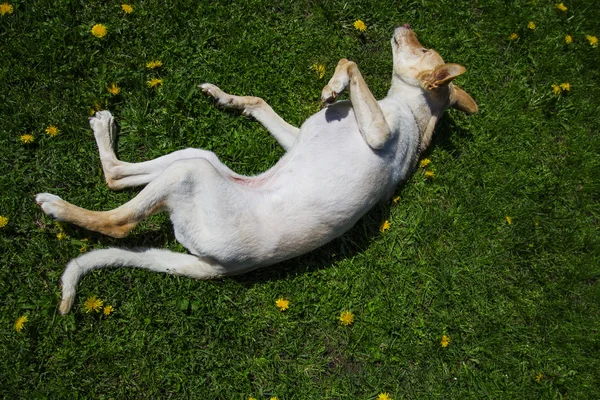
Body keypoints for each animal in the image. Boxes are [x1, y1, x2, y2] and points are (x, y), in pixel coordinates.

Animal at [36, 25, 478, 314]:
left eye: (423, 50)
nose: (405, 25)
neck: (411, 112)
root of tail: (219, 269)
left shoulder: (379, 133)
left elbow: (350, 61)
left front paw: (334, 85)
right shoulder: (297, 137)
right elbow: (261, 103)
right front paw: (230, 99)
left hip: (192, 175)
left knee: (118, 220)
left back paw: (57, 206)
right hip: (201, 158)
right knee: (118, 177)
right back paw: (103, 130)